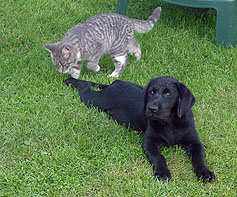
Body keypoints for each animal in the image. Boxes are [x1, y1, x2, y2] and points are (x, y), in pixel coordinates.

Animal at [64, 76, 215, 182]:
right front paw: (162, 172)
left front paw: (204, 172)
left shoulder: (194, 142)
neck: (170, 123)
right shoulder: (149, 142)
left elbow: (199, 157)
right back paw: (69, 79)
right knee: (85, 88)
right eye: (151, 92)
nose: (151, 108)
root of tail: (115, 83)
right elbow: (159, 157)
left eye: (168, 94)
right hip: (94, 100)